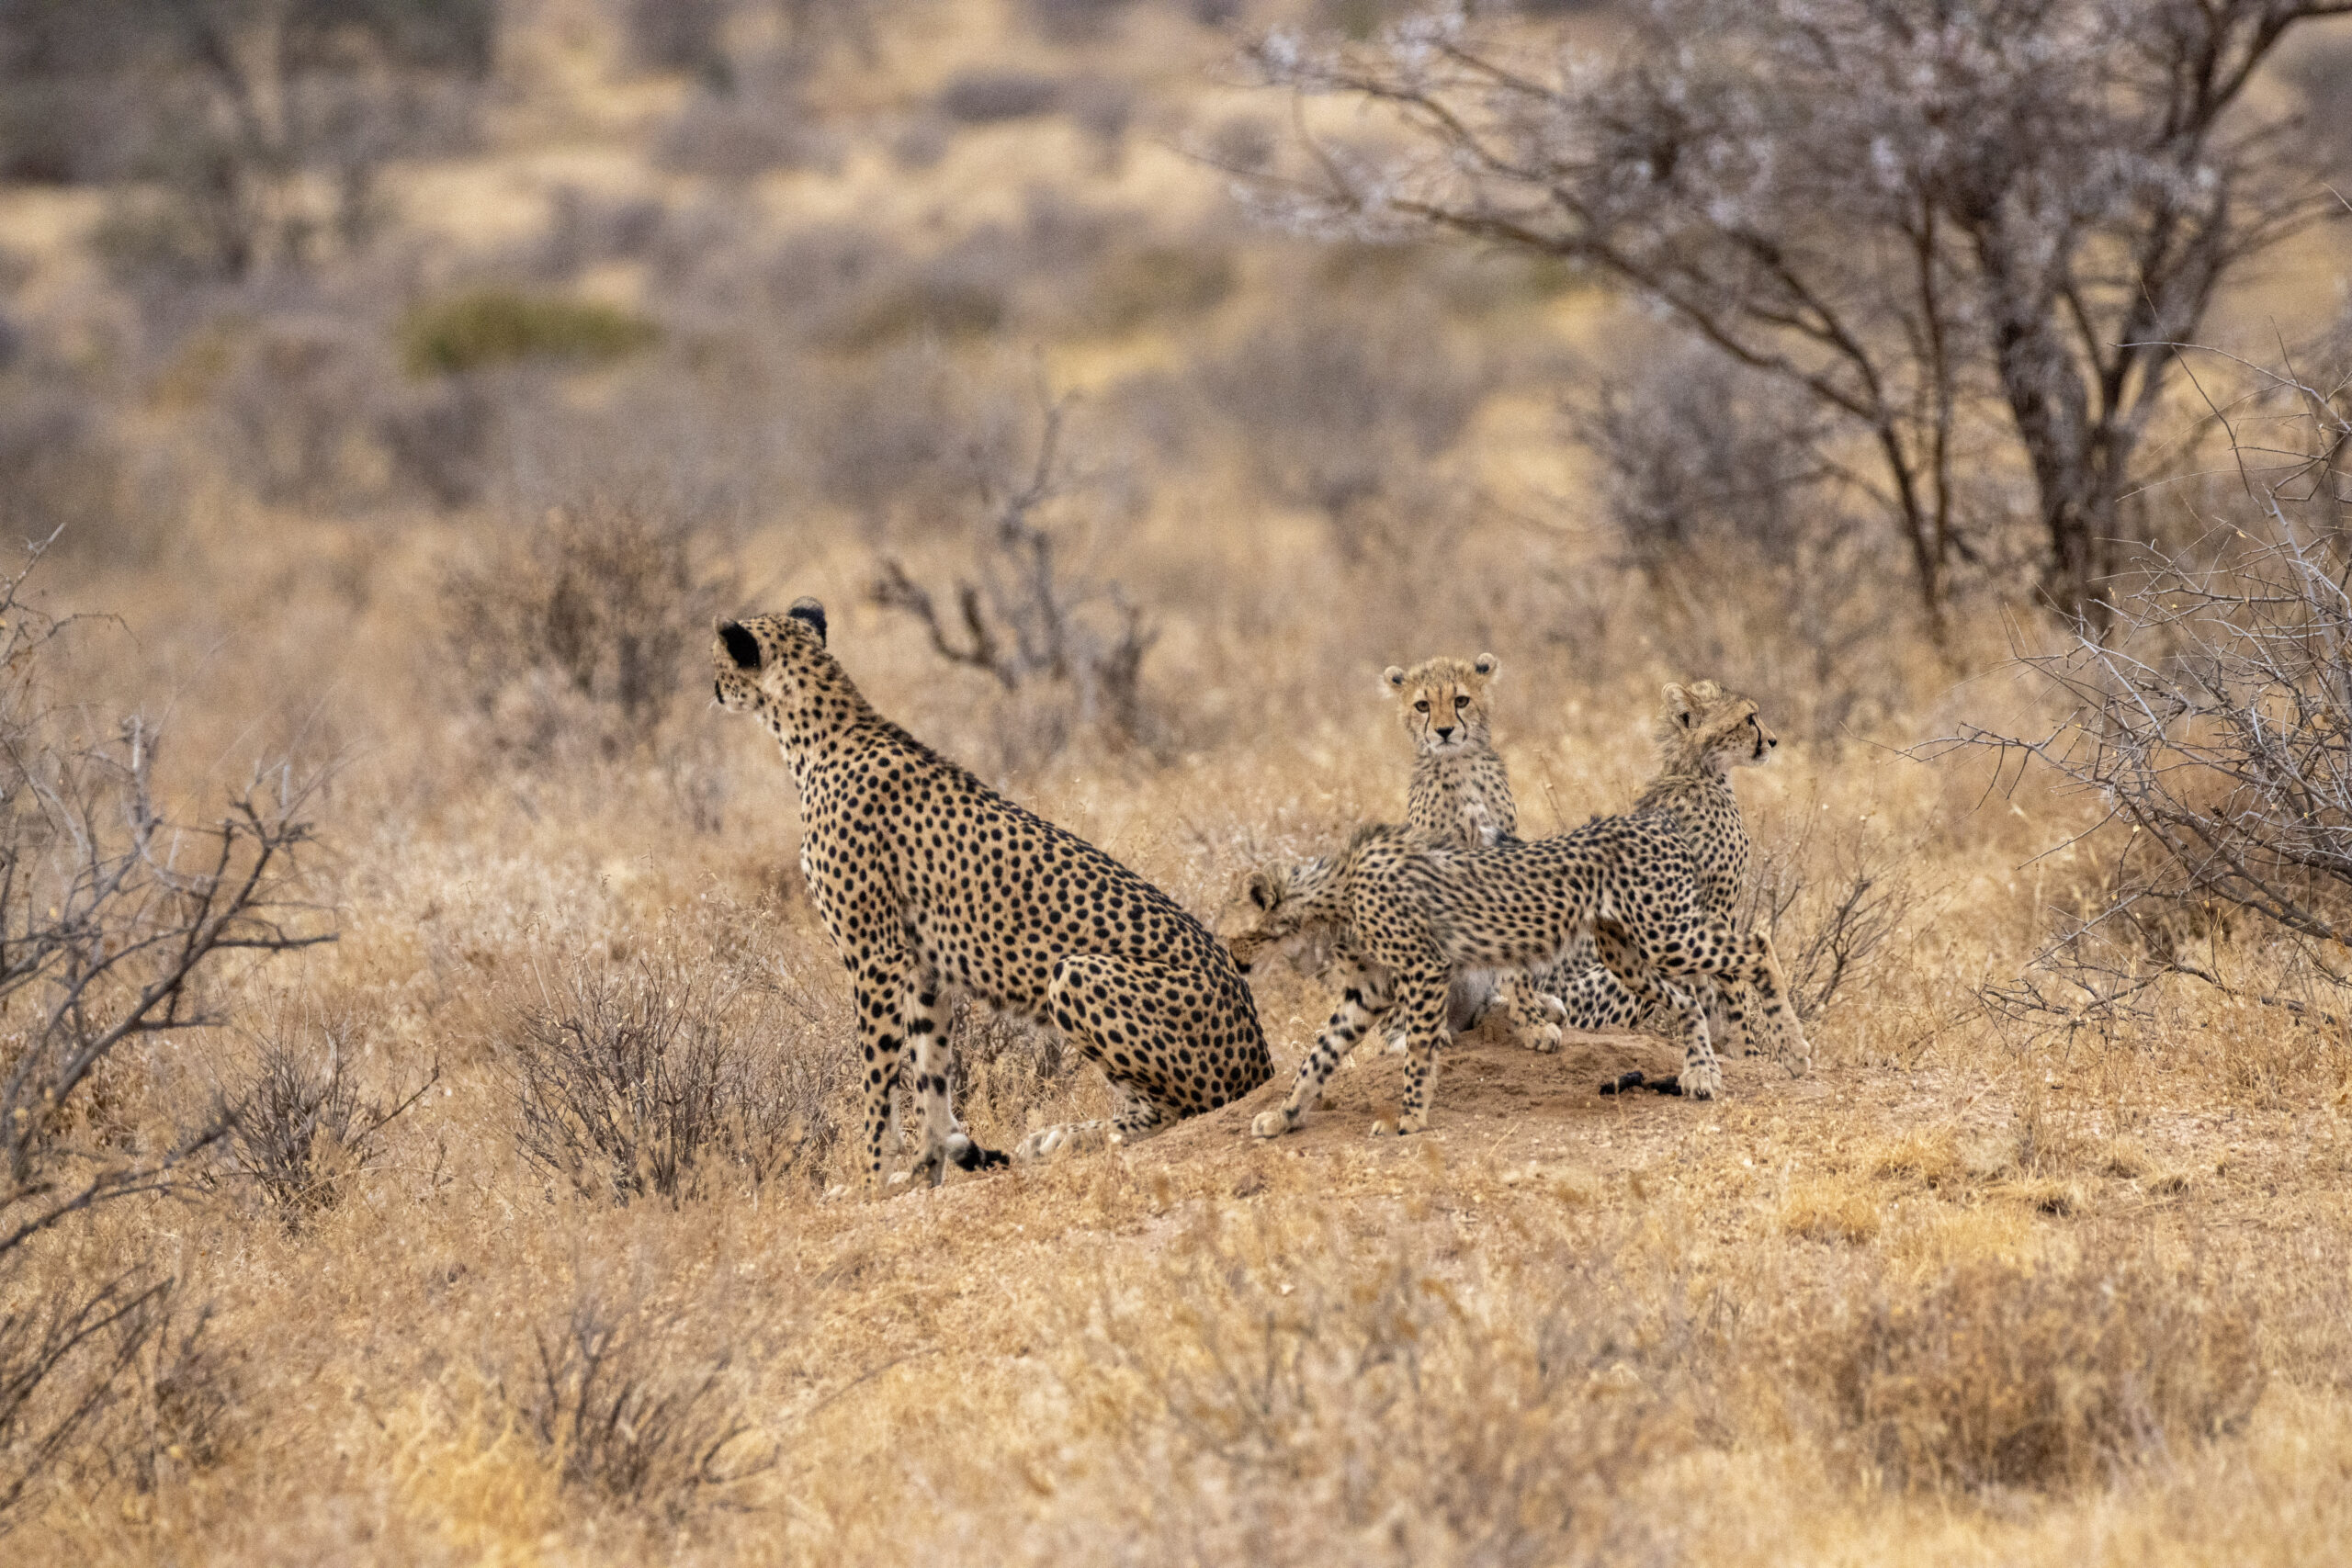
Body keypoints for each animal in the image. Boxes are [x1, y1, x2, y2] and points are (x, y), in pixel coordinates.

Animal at [710, 606, 1270, 1189]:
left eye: (718, 661)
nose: (714, 688)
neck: (819, 734)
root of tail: (1262, 1053)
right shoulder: (922, 969)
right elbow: (929, 1073)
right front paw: (924, 1169)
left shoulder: (875, 957)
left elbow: (878, 1079)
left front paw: (870, 1180)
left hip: (1075, 974)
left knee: (1180, 1109)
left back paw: (1069, 1138)